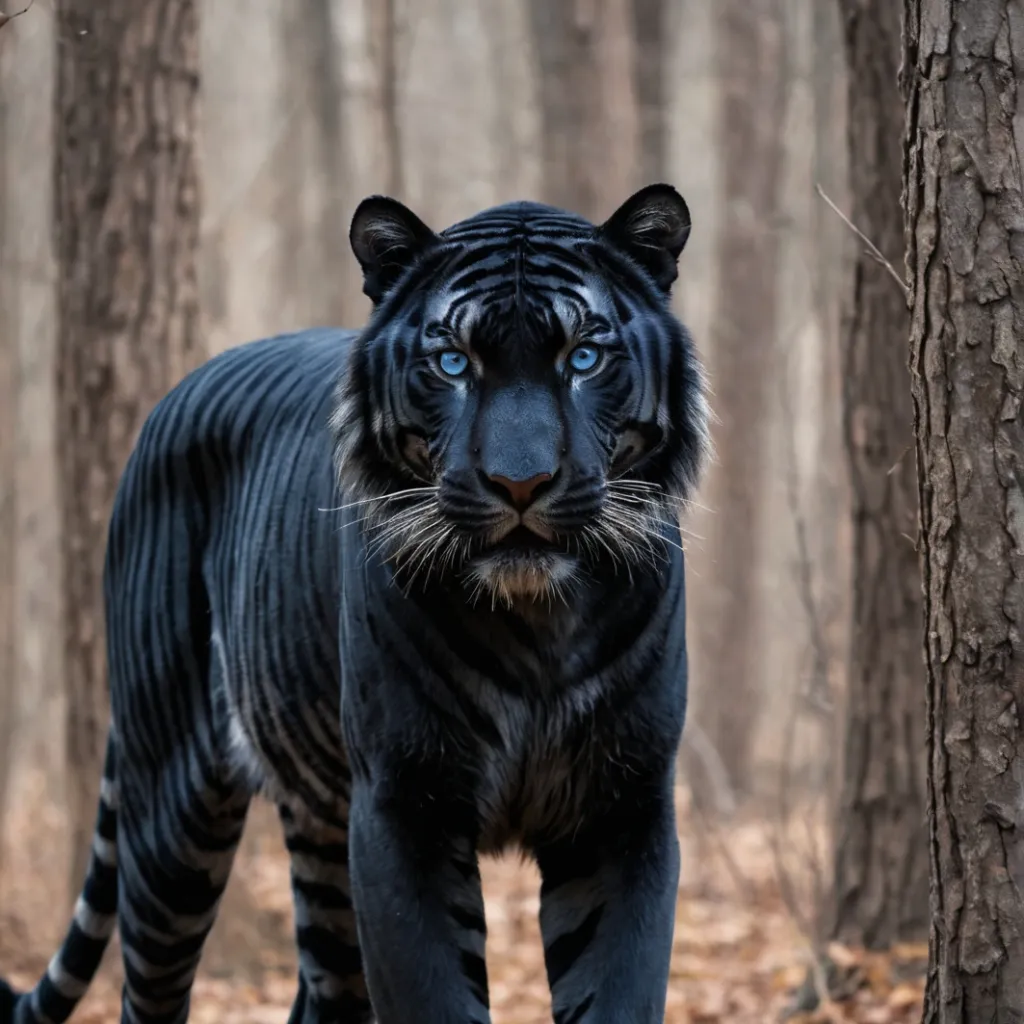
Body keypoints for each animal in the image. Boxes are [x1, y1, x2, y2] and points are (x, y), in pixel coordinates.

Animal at [0, 182, 710, 1024]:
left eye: (584, 357)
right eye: (452, 361)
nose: (520, 483)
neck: (537, 623)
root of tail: (171, 398)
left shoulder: (621, 808)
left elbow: (620, 987)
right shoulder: (404, 806)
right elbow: (431, 993)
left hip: (319, 841)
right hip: (171, 810)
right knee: (149, 989)